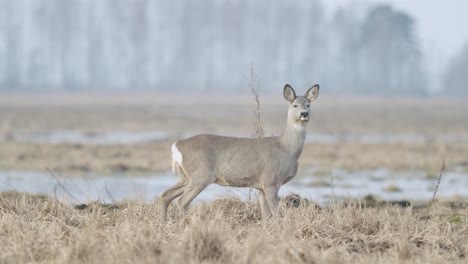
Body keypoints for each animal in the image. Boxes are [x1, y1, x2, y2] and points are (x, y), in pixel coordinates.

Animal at [160, 84, 318, 221]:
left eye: (308, 105)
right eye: (294, 105)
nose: (304, 114)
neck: (288, 149)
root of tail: (178, 144)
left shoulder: (261, 186)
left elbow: (266, 216)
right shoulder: (271, 181)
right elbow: (277, 215)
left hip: (186, 176)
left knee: (165, 195)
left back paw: (164, 224)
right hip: (201, 175)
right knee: (182, 201)